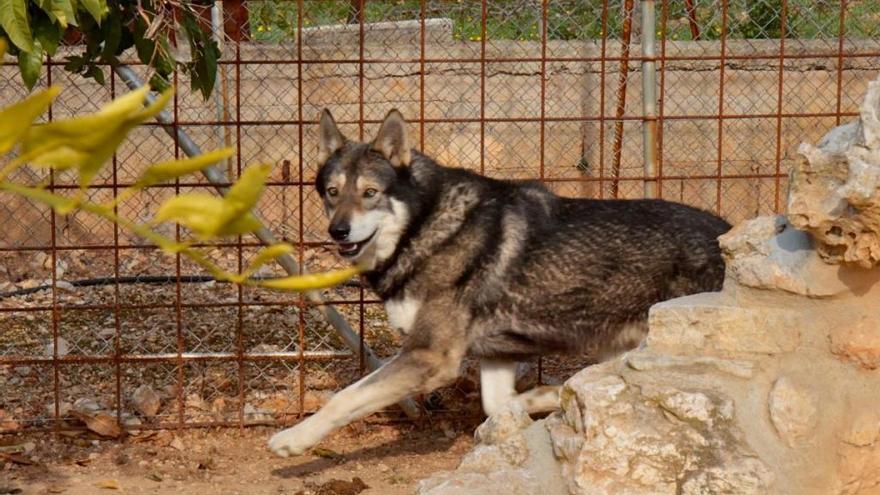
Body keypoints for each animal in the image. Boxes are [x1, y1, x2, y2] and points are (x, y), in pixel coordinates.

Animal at [266, 108, 728, 458]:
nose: (338, 231)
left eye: (370, 193)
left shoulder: (430, 356)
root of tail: (727, 231)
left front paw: (292, 439)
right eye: (332, 192)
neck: (426, 227)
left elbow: (344, 397)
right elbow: (498, 404)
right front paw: (545, 399)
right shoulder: (496, 354)